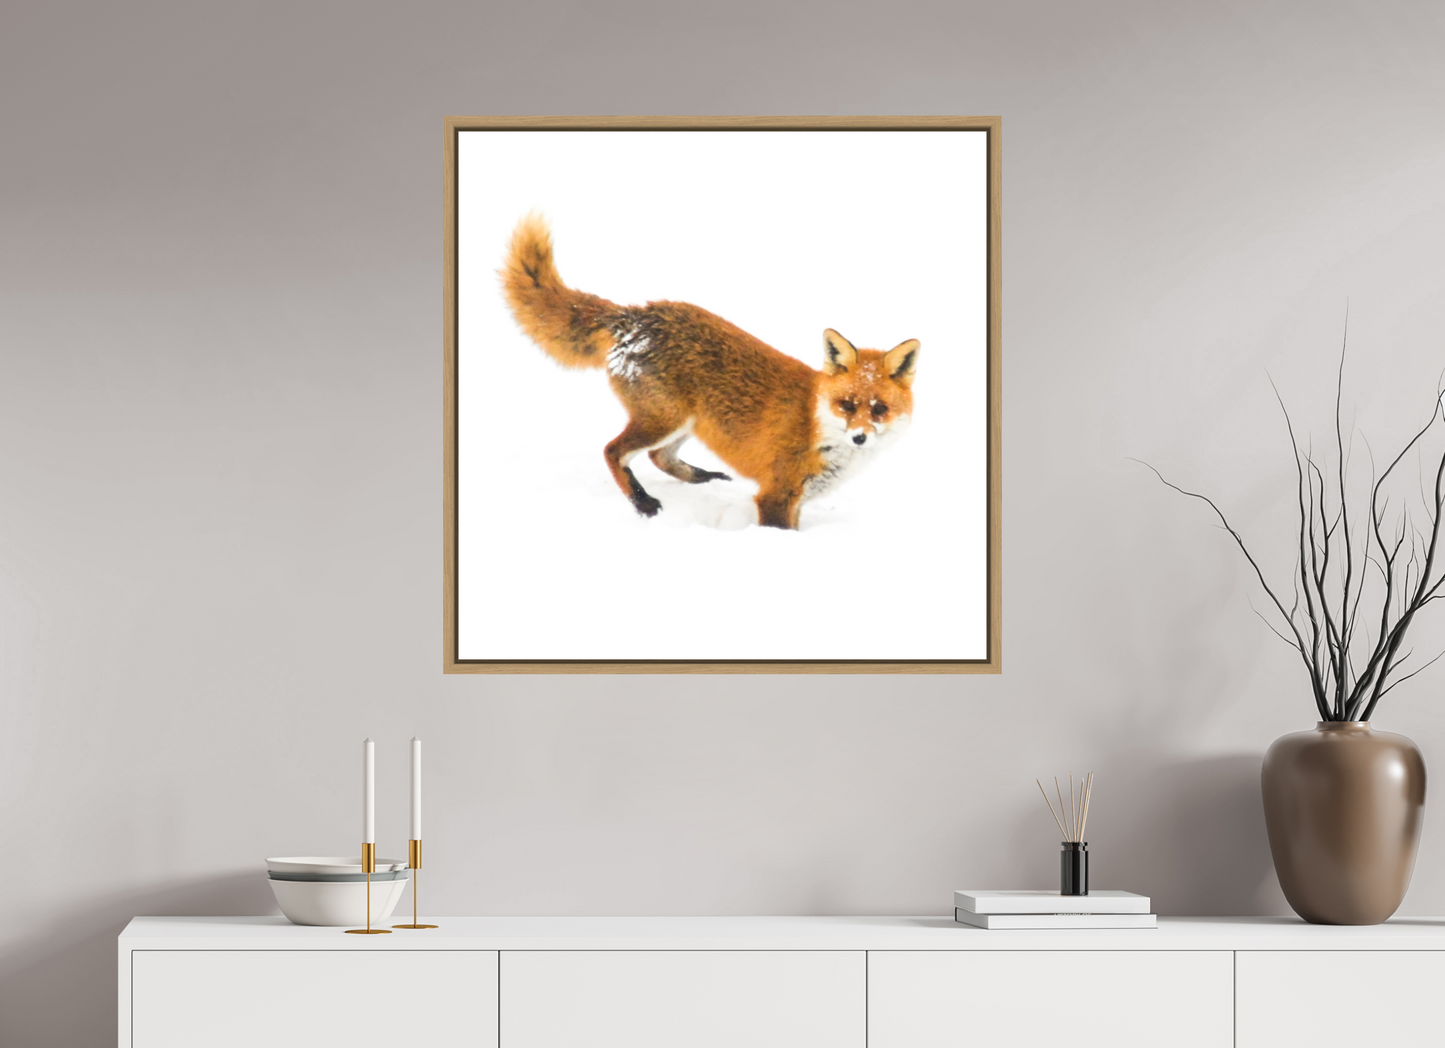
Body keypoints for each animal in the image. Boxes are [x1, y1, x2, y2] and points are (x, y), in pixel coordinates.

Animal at [499, 213, 920, 530]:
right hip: (664, 418)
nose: (860, 438)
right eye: (846, 405)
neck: (818, 427)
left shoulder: (797, 498)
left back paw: (702, 478)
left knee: (658, 457)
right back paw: (642, 502)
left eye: (879, 409)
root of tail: (633, 315)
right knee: (613, 451)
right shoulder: (775, 495)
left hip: (689, 422)